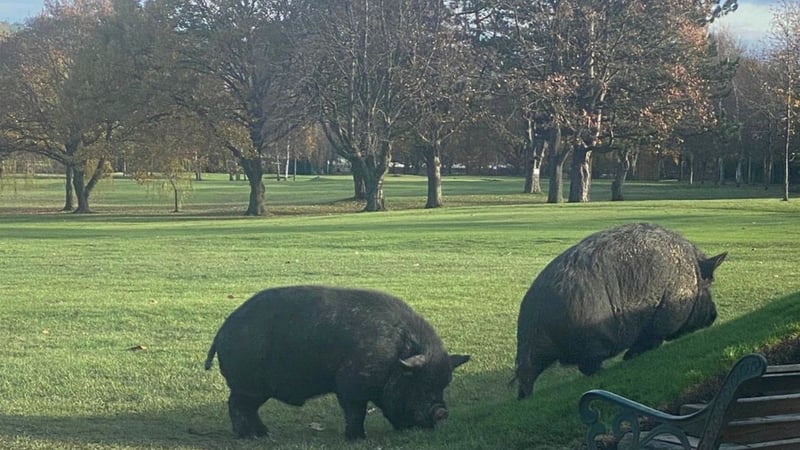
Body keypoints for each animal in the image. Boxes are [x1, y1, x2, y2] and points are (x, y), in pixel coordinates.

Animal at [203, 284, 472, 440]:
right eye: (421, 384)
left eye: (443, 385)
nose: (442, 412)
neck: (395, 357)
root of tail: (223, 330)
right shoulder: (351, 384)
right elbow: (356, 411)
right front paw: (358, 439)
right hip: (249, 386)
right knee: (237, 405)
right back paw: (252, 437)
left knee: (245, 408)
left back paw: (264, 434)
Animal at [516, 223, 728, 400]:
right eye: (708, 284)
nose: (714, 314)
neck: (692, 275)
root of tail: (535, 310)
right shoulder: (662, 319)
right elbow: (651, 339)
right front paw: (630, 357)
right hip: (594, 340)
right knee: (586, 365)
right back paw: (604, 372)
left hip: (534, 346)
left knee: (527, 371)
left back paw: (524, 398)